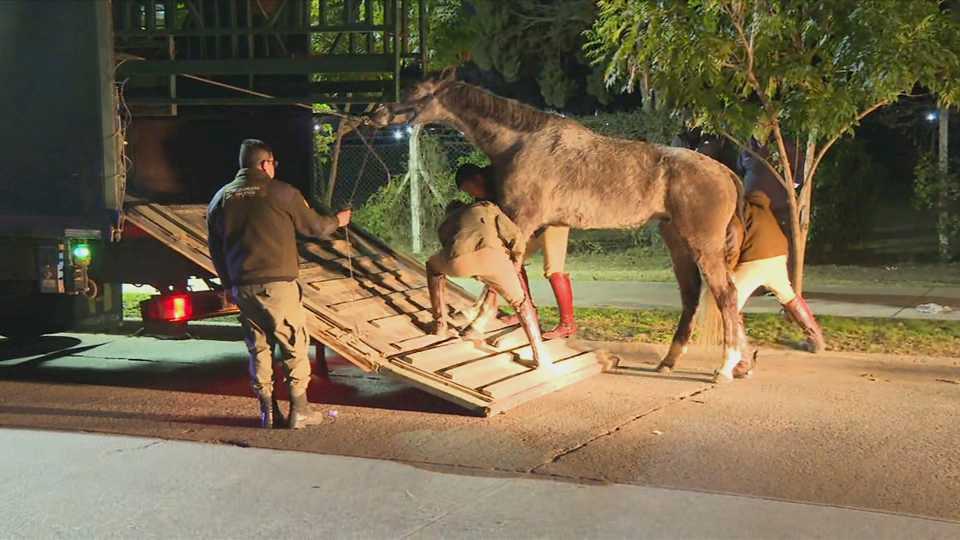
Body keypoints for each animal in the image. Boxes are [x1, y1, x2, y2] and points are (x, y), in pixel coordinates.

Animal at [372, 74, 748, 382]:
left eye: (415, 91)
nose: (378, 111)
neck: (520, 143)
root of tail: (725, 173)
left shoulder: (519, 222)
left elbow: (497, 279)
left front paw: (474, 325)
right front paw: (476, 320)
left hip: (703, 244)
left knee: (726, 294)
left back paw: (725, 368)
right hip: (677, 241)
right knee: (693, 296)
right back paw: (678, 362)